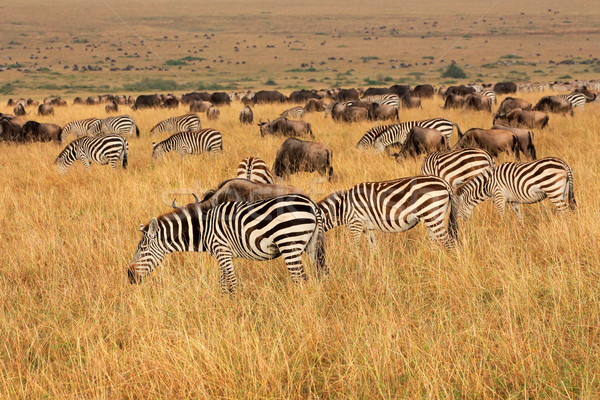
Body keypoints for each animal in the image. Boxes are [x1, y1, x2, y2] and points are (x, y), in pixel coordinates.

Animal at [127, 192, 328, 292]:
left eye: (142, 249)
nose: (129, 277)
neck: (204, 229)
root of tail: (311, 204)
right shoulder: (222, 254)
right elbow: (223, 282)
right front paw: (223, 303)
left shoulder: (222, 250)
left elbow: (231, 281)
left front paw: (236, 307)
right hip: (312, 244)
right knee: (322, 273)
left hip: (290, 244)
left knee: (300, 278)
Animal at [316, 177, 458, 248]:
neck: (342, 208)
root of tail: (444, 182)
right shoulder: (367, 228)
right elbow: (373, 248)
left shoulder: (355, 224)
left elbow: (355, 248)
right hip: (432, 218)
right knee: (435, 243)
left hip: (432, 215)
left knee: (449, 243)